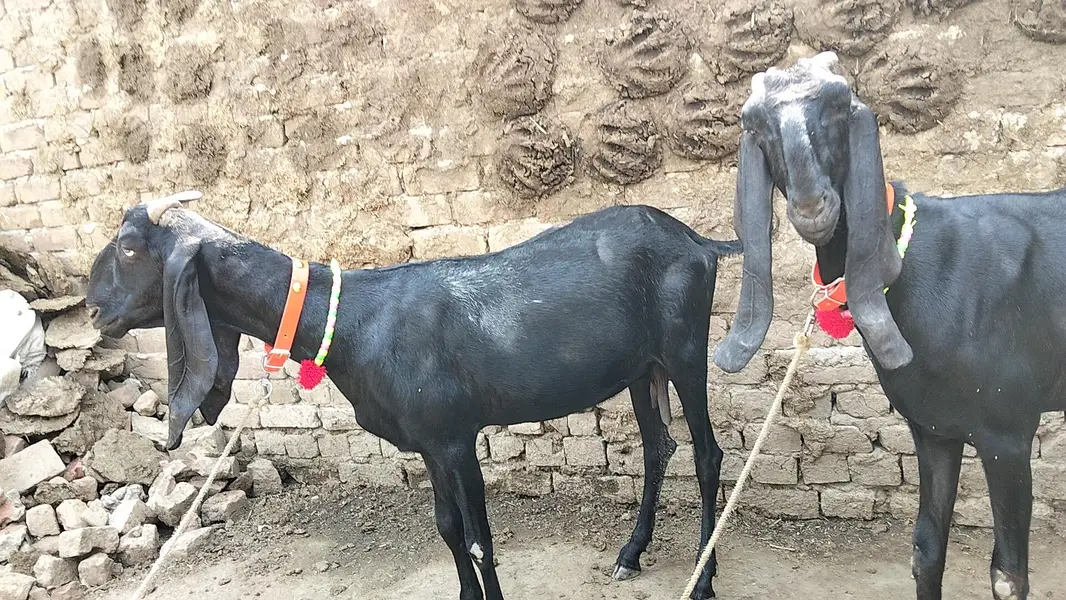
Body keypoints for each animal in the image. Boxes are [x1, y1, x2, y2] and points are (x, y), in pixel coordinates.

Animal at [85, 194, 742, 600]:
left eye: (130, 247)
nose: (93, 309)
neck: (354, 320)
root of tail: (698, 241)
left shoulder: (454, 436)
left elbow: (478, 538)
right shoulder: (428, 442)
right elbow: (448, 529)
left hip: (685, 350)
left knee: (707, 455)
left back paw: (704, 580)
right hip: (641, 367)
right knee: (658, 448)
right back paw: (631, 553)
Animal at [712, 50, 1066, 600]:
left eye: (839, 107)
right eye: (758, 126)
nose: (813, 206)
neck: (923, 266)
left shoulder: (1008, 433)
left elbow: (1007, 576)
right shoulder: (934, 429)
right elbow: (926, 551)